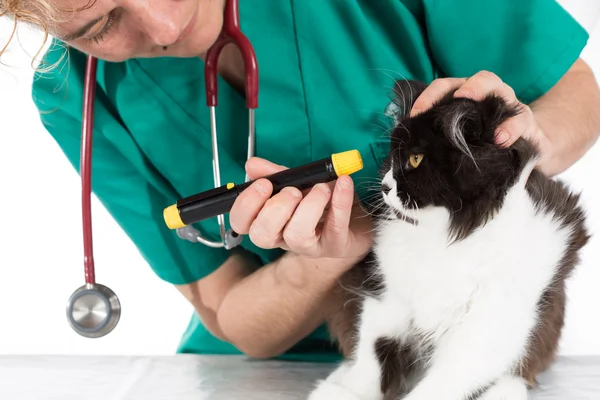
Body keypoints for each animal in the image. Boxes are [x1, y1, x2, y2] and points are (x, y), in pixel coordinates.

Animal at [310, 79, 592, 398]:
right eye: (391, 157)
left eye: (415, 159)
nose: (384, 186)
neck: (445, 236)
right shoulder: (388, 297)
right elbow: (373, 357)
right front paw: (346, 391)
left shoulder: (491, 323)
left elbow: (444, 381)